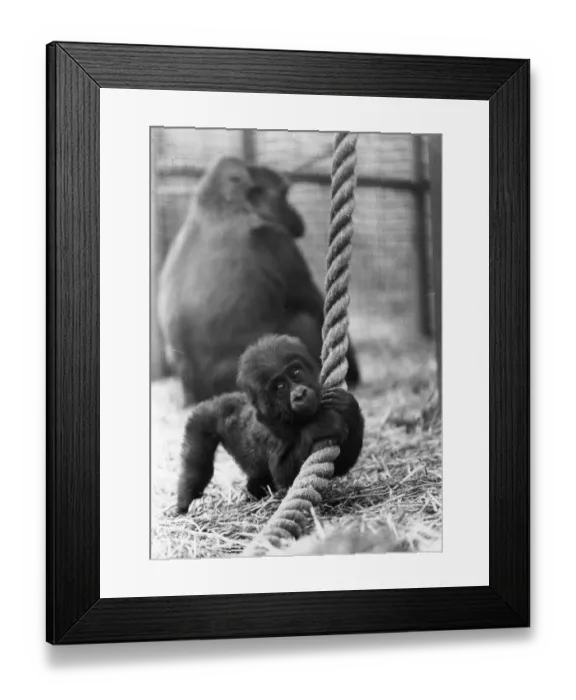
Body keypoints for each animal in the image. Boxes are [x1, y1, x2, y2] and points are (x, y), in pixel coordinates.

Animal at [156, 155, 361, 406]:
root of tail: (198, 394)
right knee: (302, 321)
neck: (222, 206)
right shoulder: (276, 240)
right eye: (283, 195)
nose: (295, 214)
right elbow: (313, 305)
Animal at [173, 334, 364, 515]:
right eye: (280, 387)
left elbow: (340, 464)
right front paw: (320, 426)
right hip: (203, 418)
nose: (299, 394)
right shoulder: (270, 435)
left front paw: (347, 406)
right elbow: (284, 474)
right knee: (197, 466)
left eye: (296, 373)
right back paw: (185, 501)